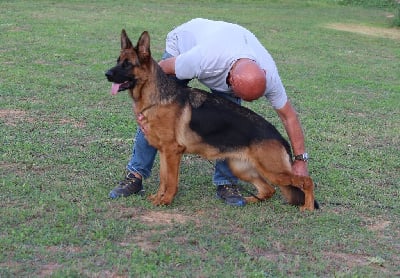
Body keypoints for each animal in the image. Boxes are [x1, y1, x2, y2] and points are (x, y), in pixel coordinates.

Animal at [104, 29, 318, 211]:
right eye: (118, 61)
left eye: (127, 64)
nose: (106, 74)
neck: (157, 98)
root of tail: (281, 138)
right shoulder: (165, 153)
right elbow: (164, 179)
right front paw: (158, 197)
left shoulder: (172, 152)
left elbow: (171, 181)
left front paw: (165, 200)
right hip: (240, 168)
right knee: (268, 190)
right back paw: (247, 199)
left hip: (272, 171)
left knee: (306, 181)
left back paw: (307, 207)